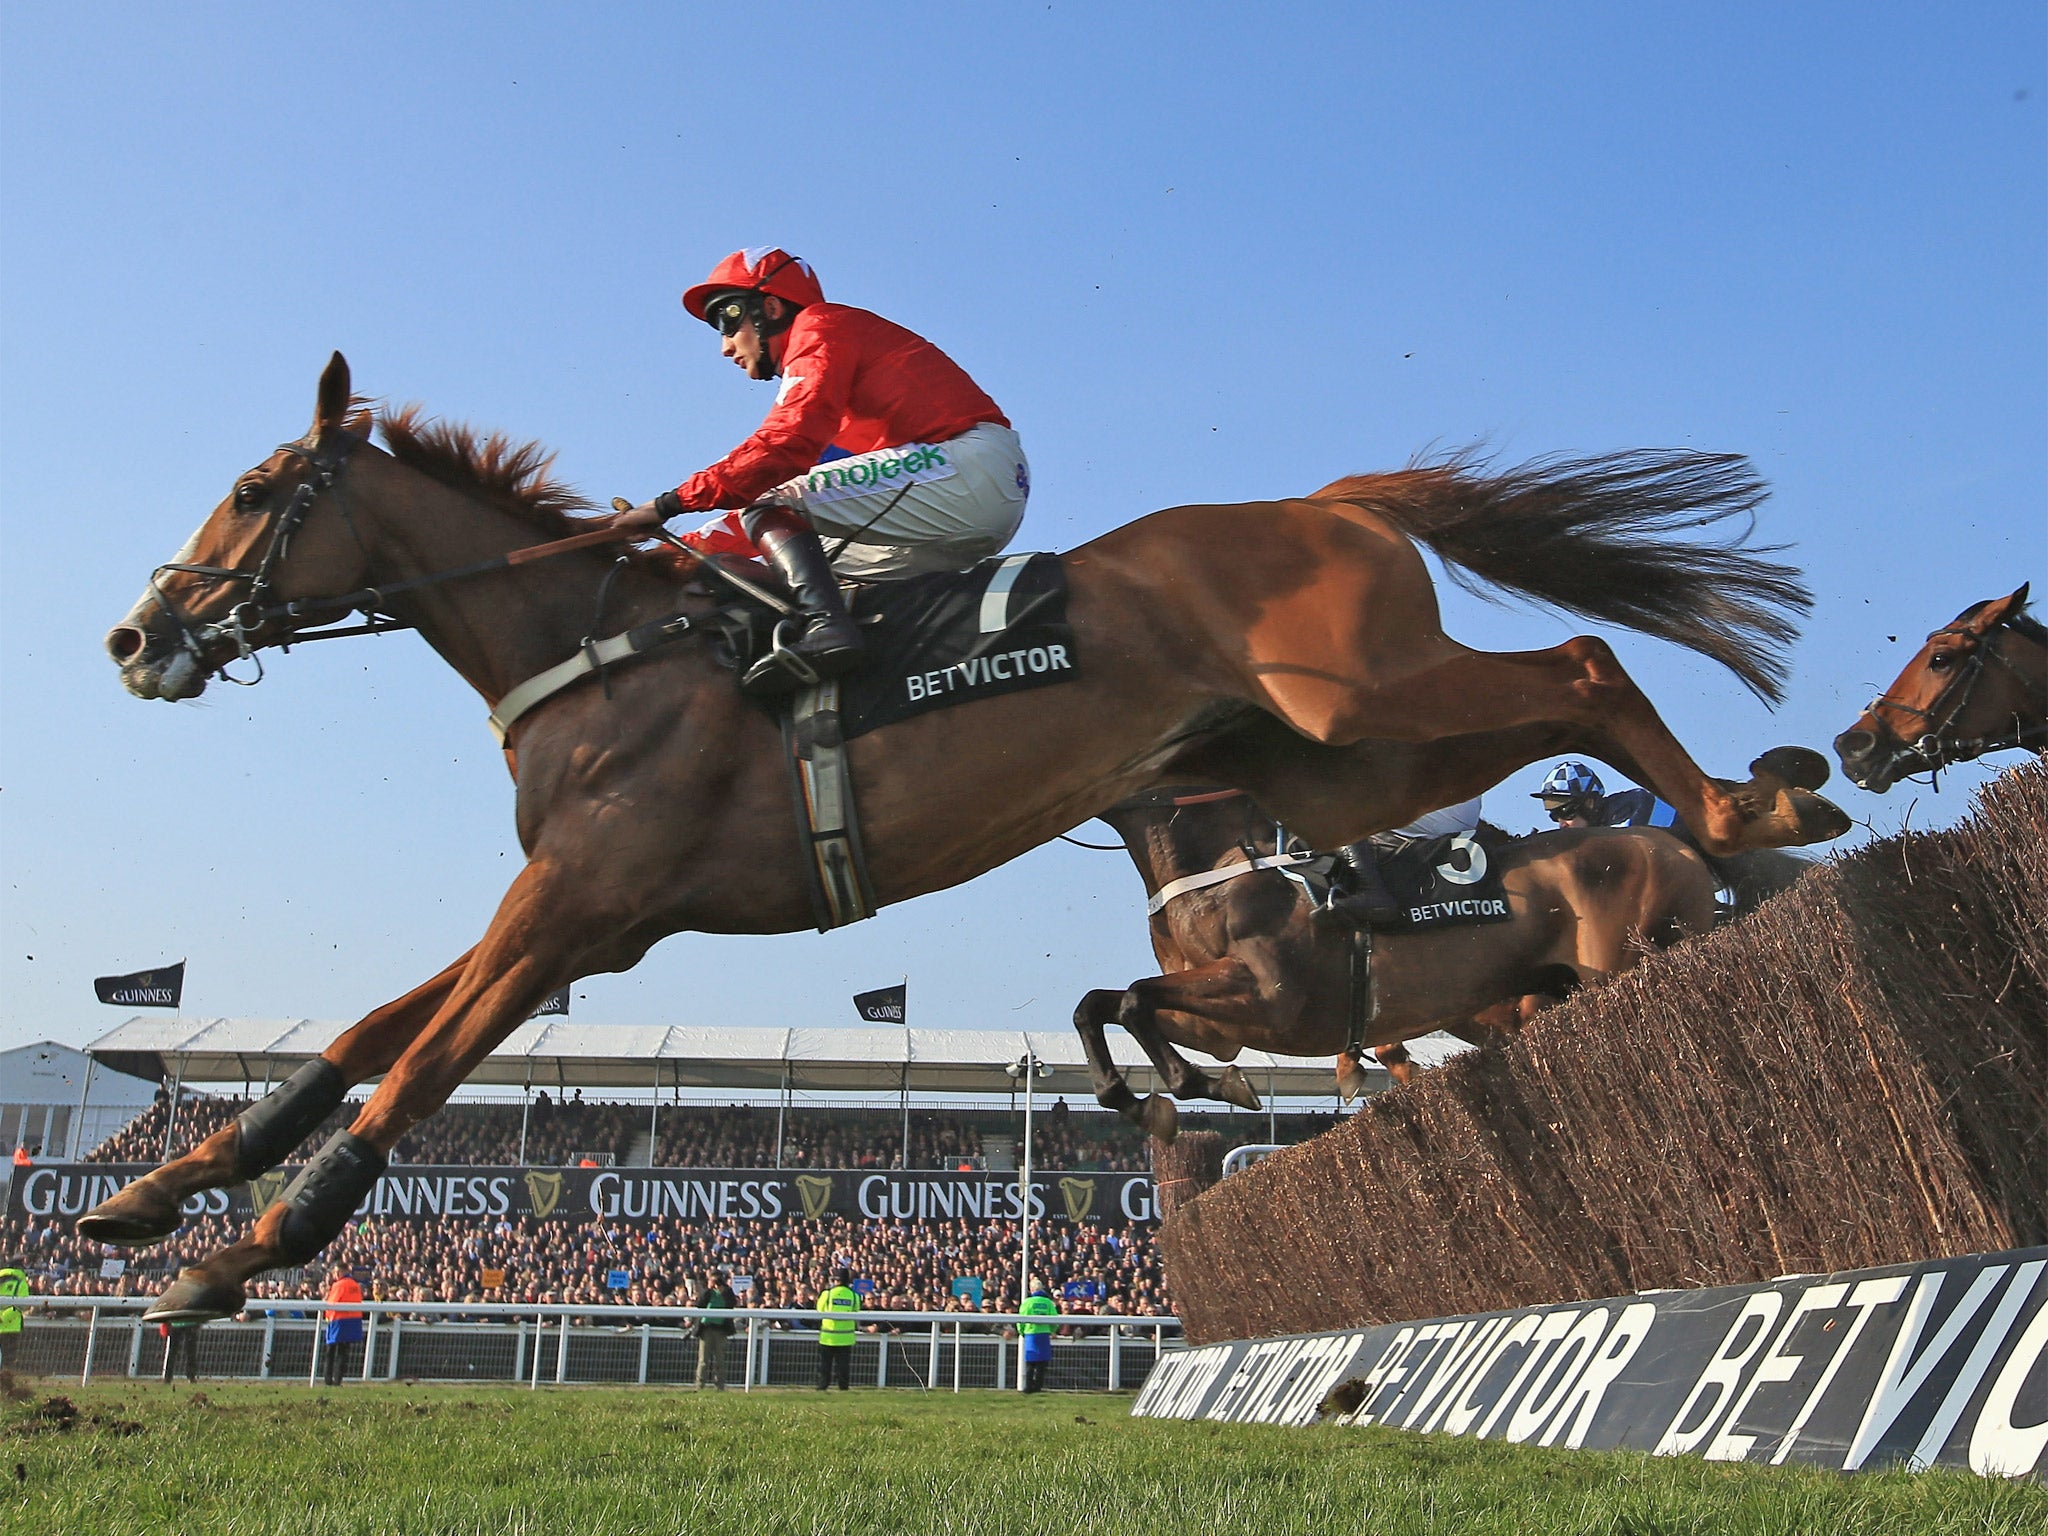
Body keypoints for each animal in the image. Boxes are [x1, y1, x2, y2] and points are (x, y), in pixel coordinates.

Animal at [1073, 786, 1810, 1138]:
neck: (1222, 863)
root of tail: (1679, 844)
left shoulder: (1269, 996)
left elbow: (1133, 999)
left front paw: (1188, 1090)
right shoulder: (1223, 1026)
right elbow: (1104, 1003)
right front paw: (1153, 1097)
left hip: (1626, 967)